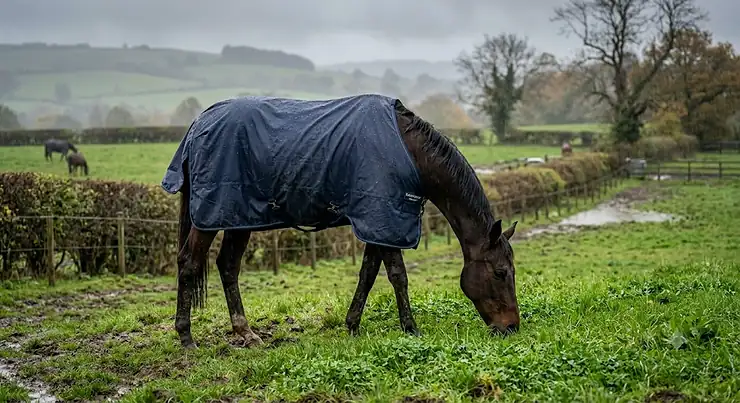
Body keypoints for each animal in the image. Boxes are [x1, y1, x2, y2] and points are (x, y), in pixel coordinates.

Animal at [162, 94, 519, 349]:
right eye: (501, 272)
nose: (511, 327)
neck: (410, 153)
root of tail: (198, 124)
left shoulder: (379, 222)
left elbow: (368, 274)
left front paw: (352, 324)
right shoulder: (384, 219)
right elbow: (398, 276)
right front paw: (411, 328)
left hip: (239, 217)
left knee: (227, 266)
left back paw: (246, 333)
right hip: (210, 217)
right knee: (189, 262)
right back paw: (186, 337)